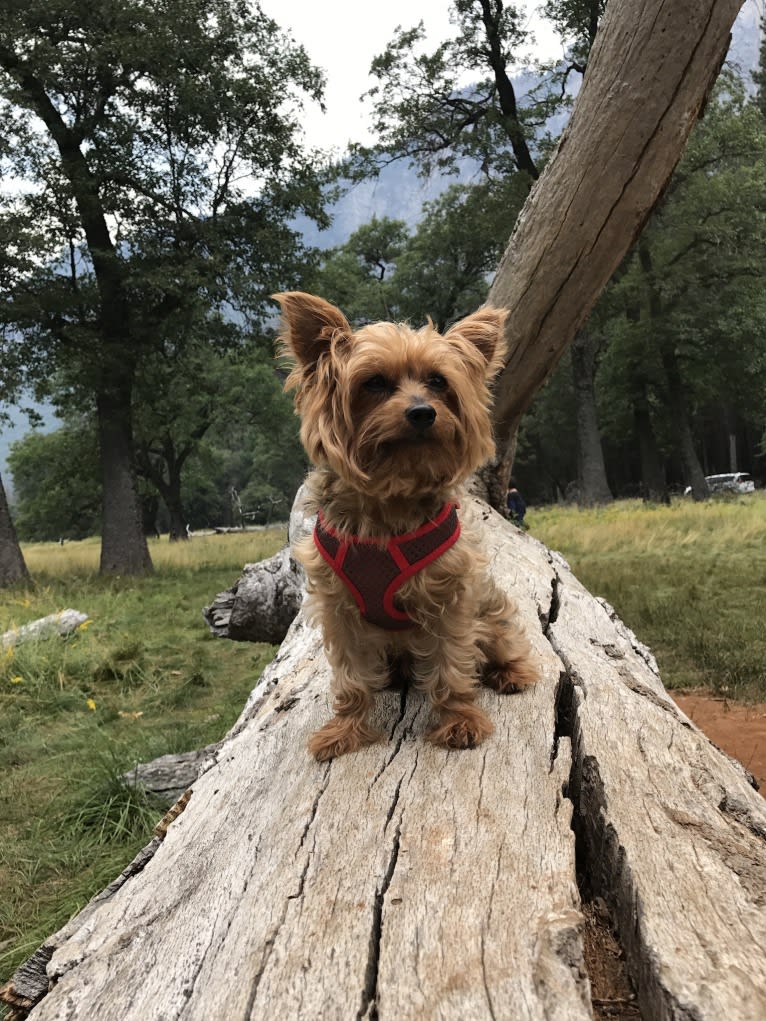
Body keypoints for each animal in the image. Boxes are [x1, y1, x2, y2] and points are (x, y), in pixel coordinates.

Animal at [275, 292, 539, 763]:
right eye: (375, 383)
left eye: (438, 381)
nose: (422, 412)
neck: (391, 493)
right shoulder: (340, 608)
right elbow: (350, 679)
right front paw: (344, 729)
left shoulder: (451, 598)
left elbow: (452, 665)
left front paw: (459, 721)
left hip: (490, 612)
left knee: (504, 638)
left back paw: (512, 672)